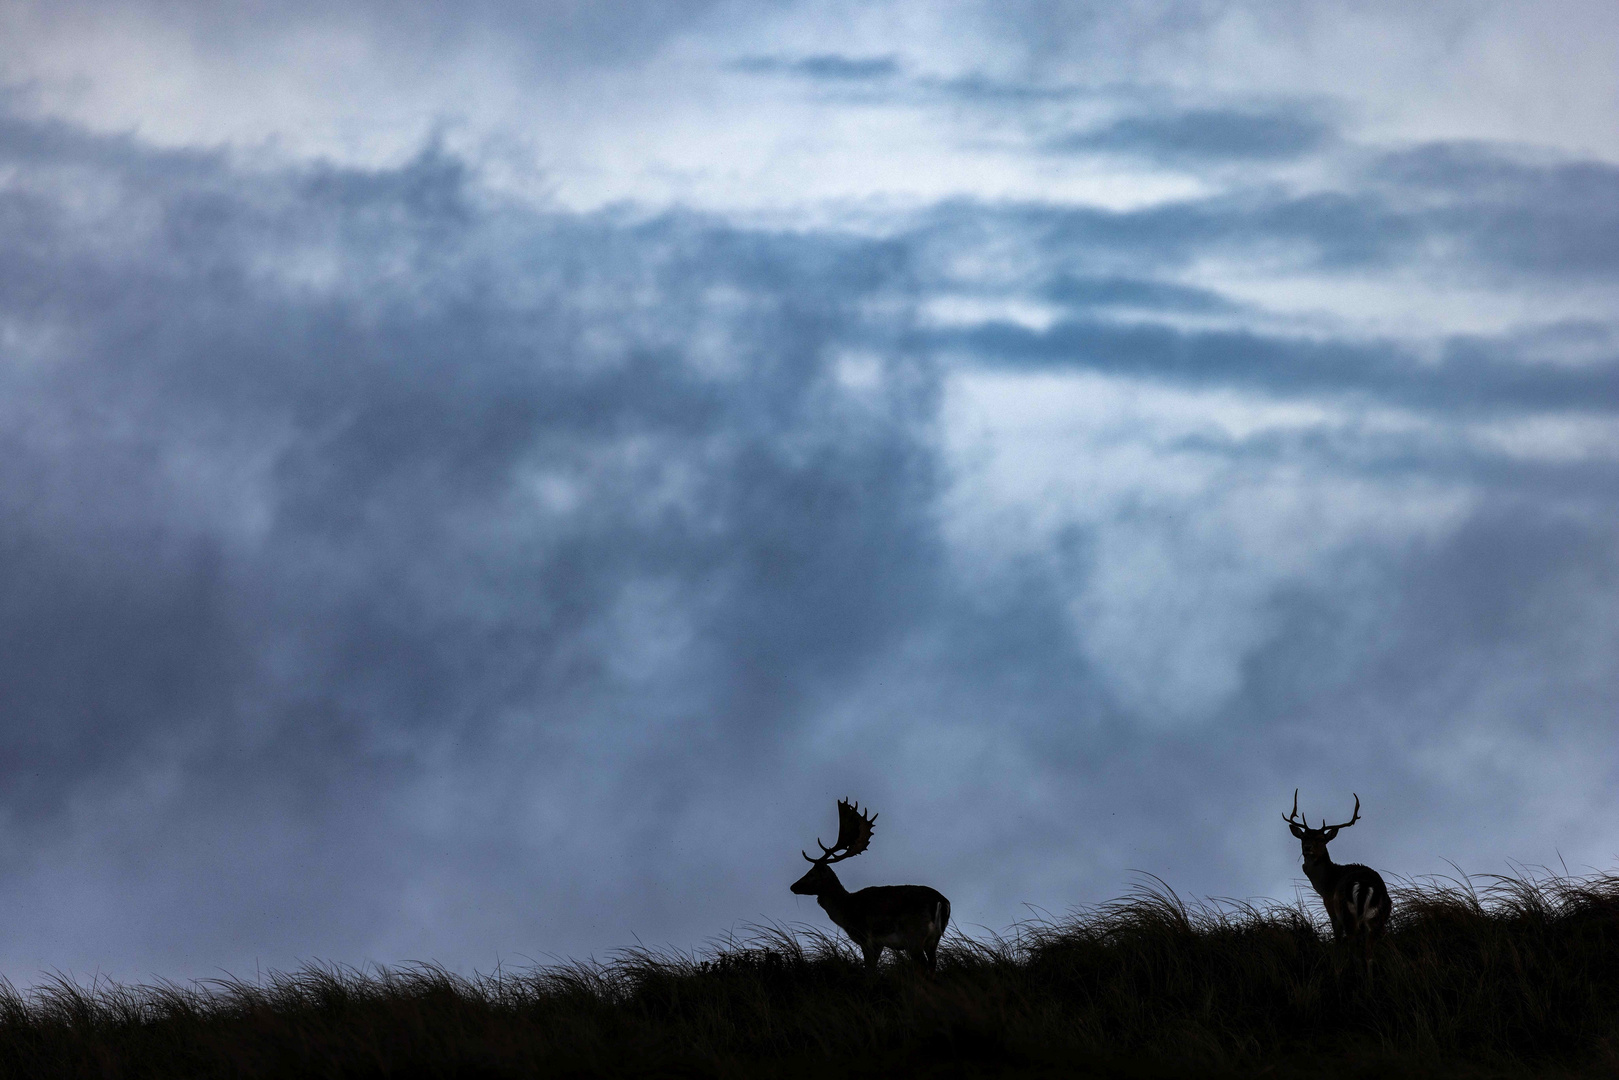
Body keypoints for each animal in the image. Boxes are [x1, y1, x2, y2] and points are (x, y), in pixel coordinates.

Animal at [793, 803, 951, 971]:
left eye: (811, 873)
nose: (793, 886)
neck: (845, 911)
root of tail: (942, 901)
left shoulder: (865, 937)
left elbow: (869, 969)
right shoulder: (878, 944)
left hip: (914, 934)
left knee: (923, 965)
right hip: (934, 939)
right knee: (932, 964)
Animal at [1288, 790, 1392, 984]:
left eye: (1322, 839)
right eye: (1304, 837)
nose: (1307, 848)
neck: (1327, 882)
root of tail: (1365, 885)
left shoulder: (1330, 906)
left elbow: (1337, 940)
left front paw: (1336, 969)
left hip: (1347, 913)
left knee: (1355, 951)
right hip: (1377, 919)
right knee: (1369, 953)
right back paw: (1369, 984)